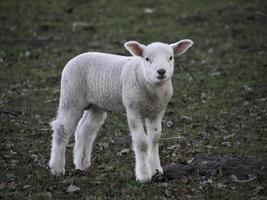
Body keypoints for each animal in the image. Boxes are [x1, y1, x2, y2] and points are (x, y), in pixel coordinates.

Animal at [49, 38, 194, 181]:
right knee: (61, 129)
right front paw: (144, 175)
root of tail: (75, 58)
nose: (161, 71)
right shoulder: (133, 109)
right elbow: (141, 142)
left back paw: (82, 164)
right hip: (71, 97)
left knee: (85, 130)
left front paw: (156, 169)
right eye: (147, 59)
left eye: (170, 57)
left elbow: (154, 139)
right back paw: (57, 169)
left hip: (96, 104)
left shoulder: (157, 111)